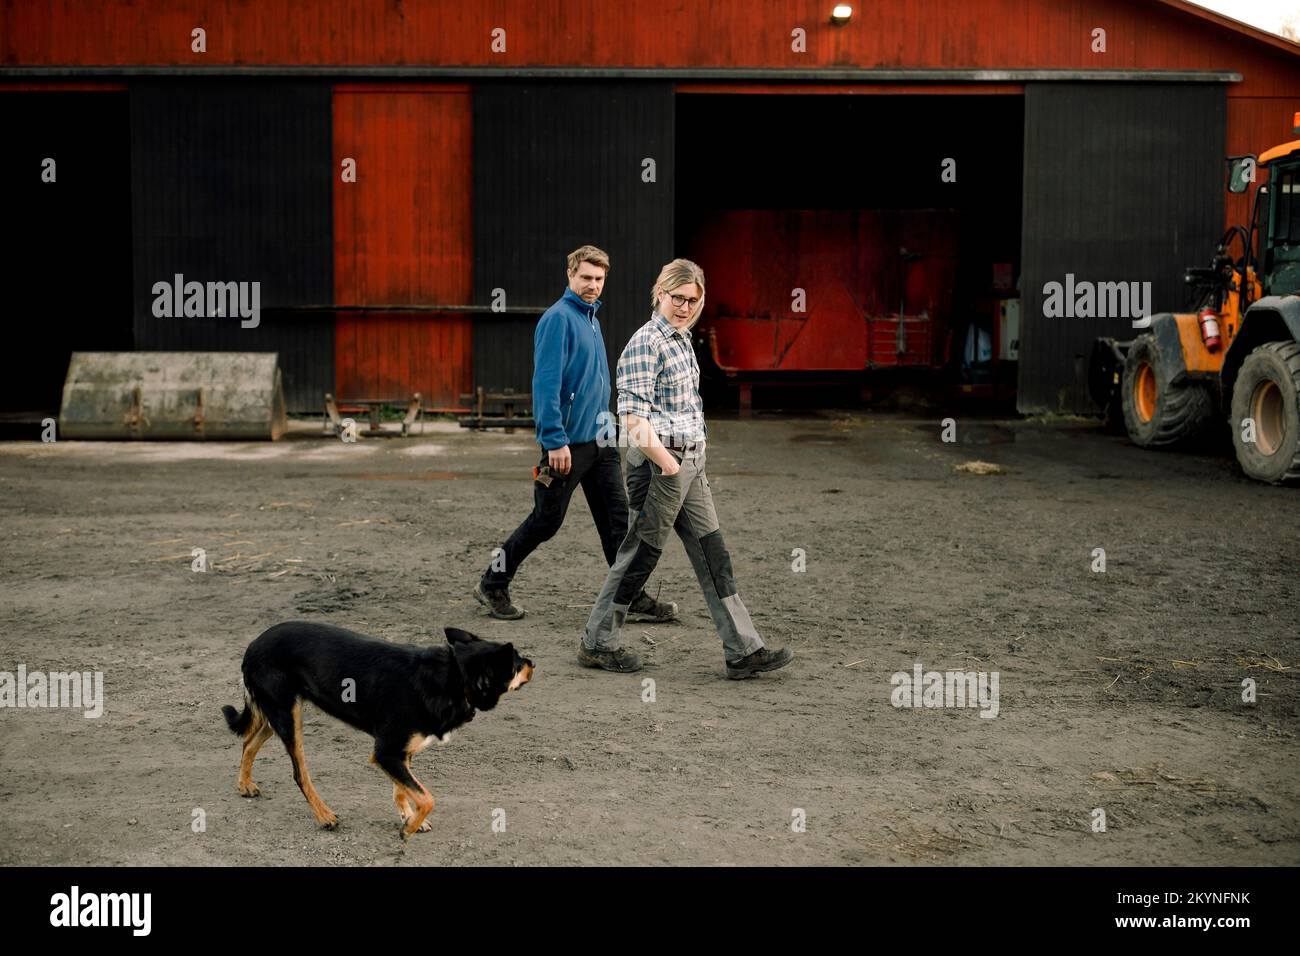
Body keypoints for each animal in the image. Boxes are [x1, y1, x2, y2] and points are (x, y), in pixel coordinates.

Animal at [220, 621, 530, 837]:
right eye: (516, 662)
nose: (533, 662)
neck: (456, 677)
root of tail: (253, 644)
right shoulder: (387, 752)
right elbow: (427, 797)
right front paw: (408, 828)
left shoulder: (399, 752)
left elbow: (403, 790)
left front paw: (409, 818)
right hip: (287, 716)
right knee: (300, 774)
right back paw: (324, 816)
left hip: (278, 715)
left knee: (249, 743)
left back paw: (245, 785)